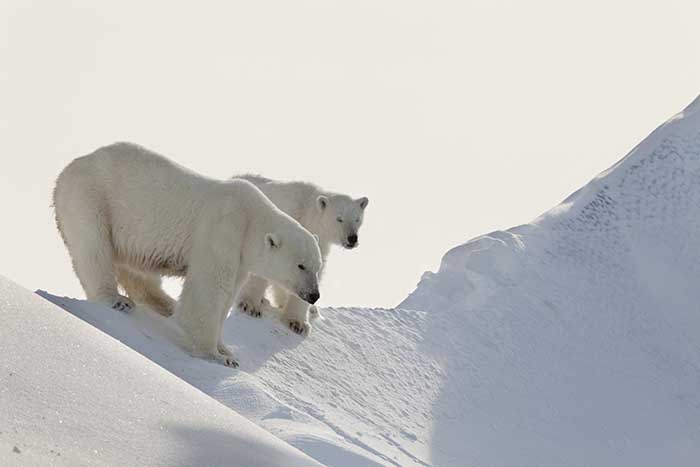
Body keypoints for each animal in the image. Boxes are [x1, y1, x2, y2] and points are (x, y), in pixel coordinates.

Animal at [54, 141, 322, 368]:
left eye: (317, 267)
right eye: (301, 266)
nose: (314, 295)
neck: (252, 217)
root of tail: (68, 169)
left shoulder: (240, 256)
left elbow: (228, 294)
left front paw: (226, 349)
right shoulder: (222, 228)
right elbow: (210, 290)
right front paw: (219, 356)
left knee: (135, 270)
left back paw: (165, 304)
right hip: (91, 196)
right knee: (93, 246)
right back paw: (117, 300)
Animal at [232, 174, 370, 334]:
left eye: (357, 219)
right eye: (339, 218)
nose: (352, 238)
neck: (306, 214)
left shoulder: (318, 243)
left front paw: (297, 323)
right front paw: (249, 305)